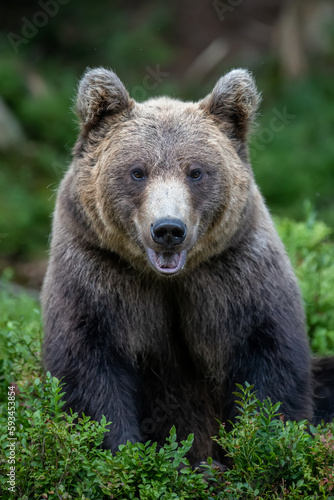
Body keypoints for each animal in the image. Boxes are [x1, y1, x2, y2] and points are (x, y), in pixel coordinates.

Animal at [41, 67, 334, 464]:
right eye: (138, 171)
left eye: (195, 172)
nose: (168, 229)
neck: (167, 278)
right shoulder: (96, 270)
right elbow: (89, 367)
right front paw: (123, 450)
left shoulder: (234, 271)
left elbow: (268, 358)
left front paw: (262, 444)